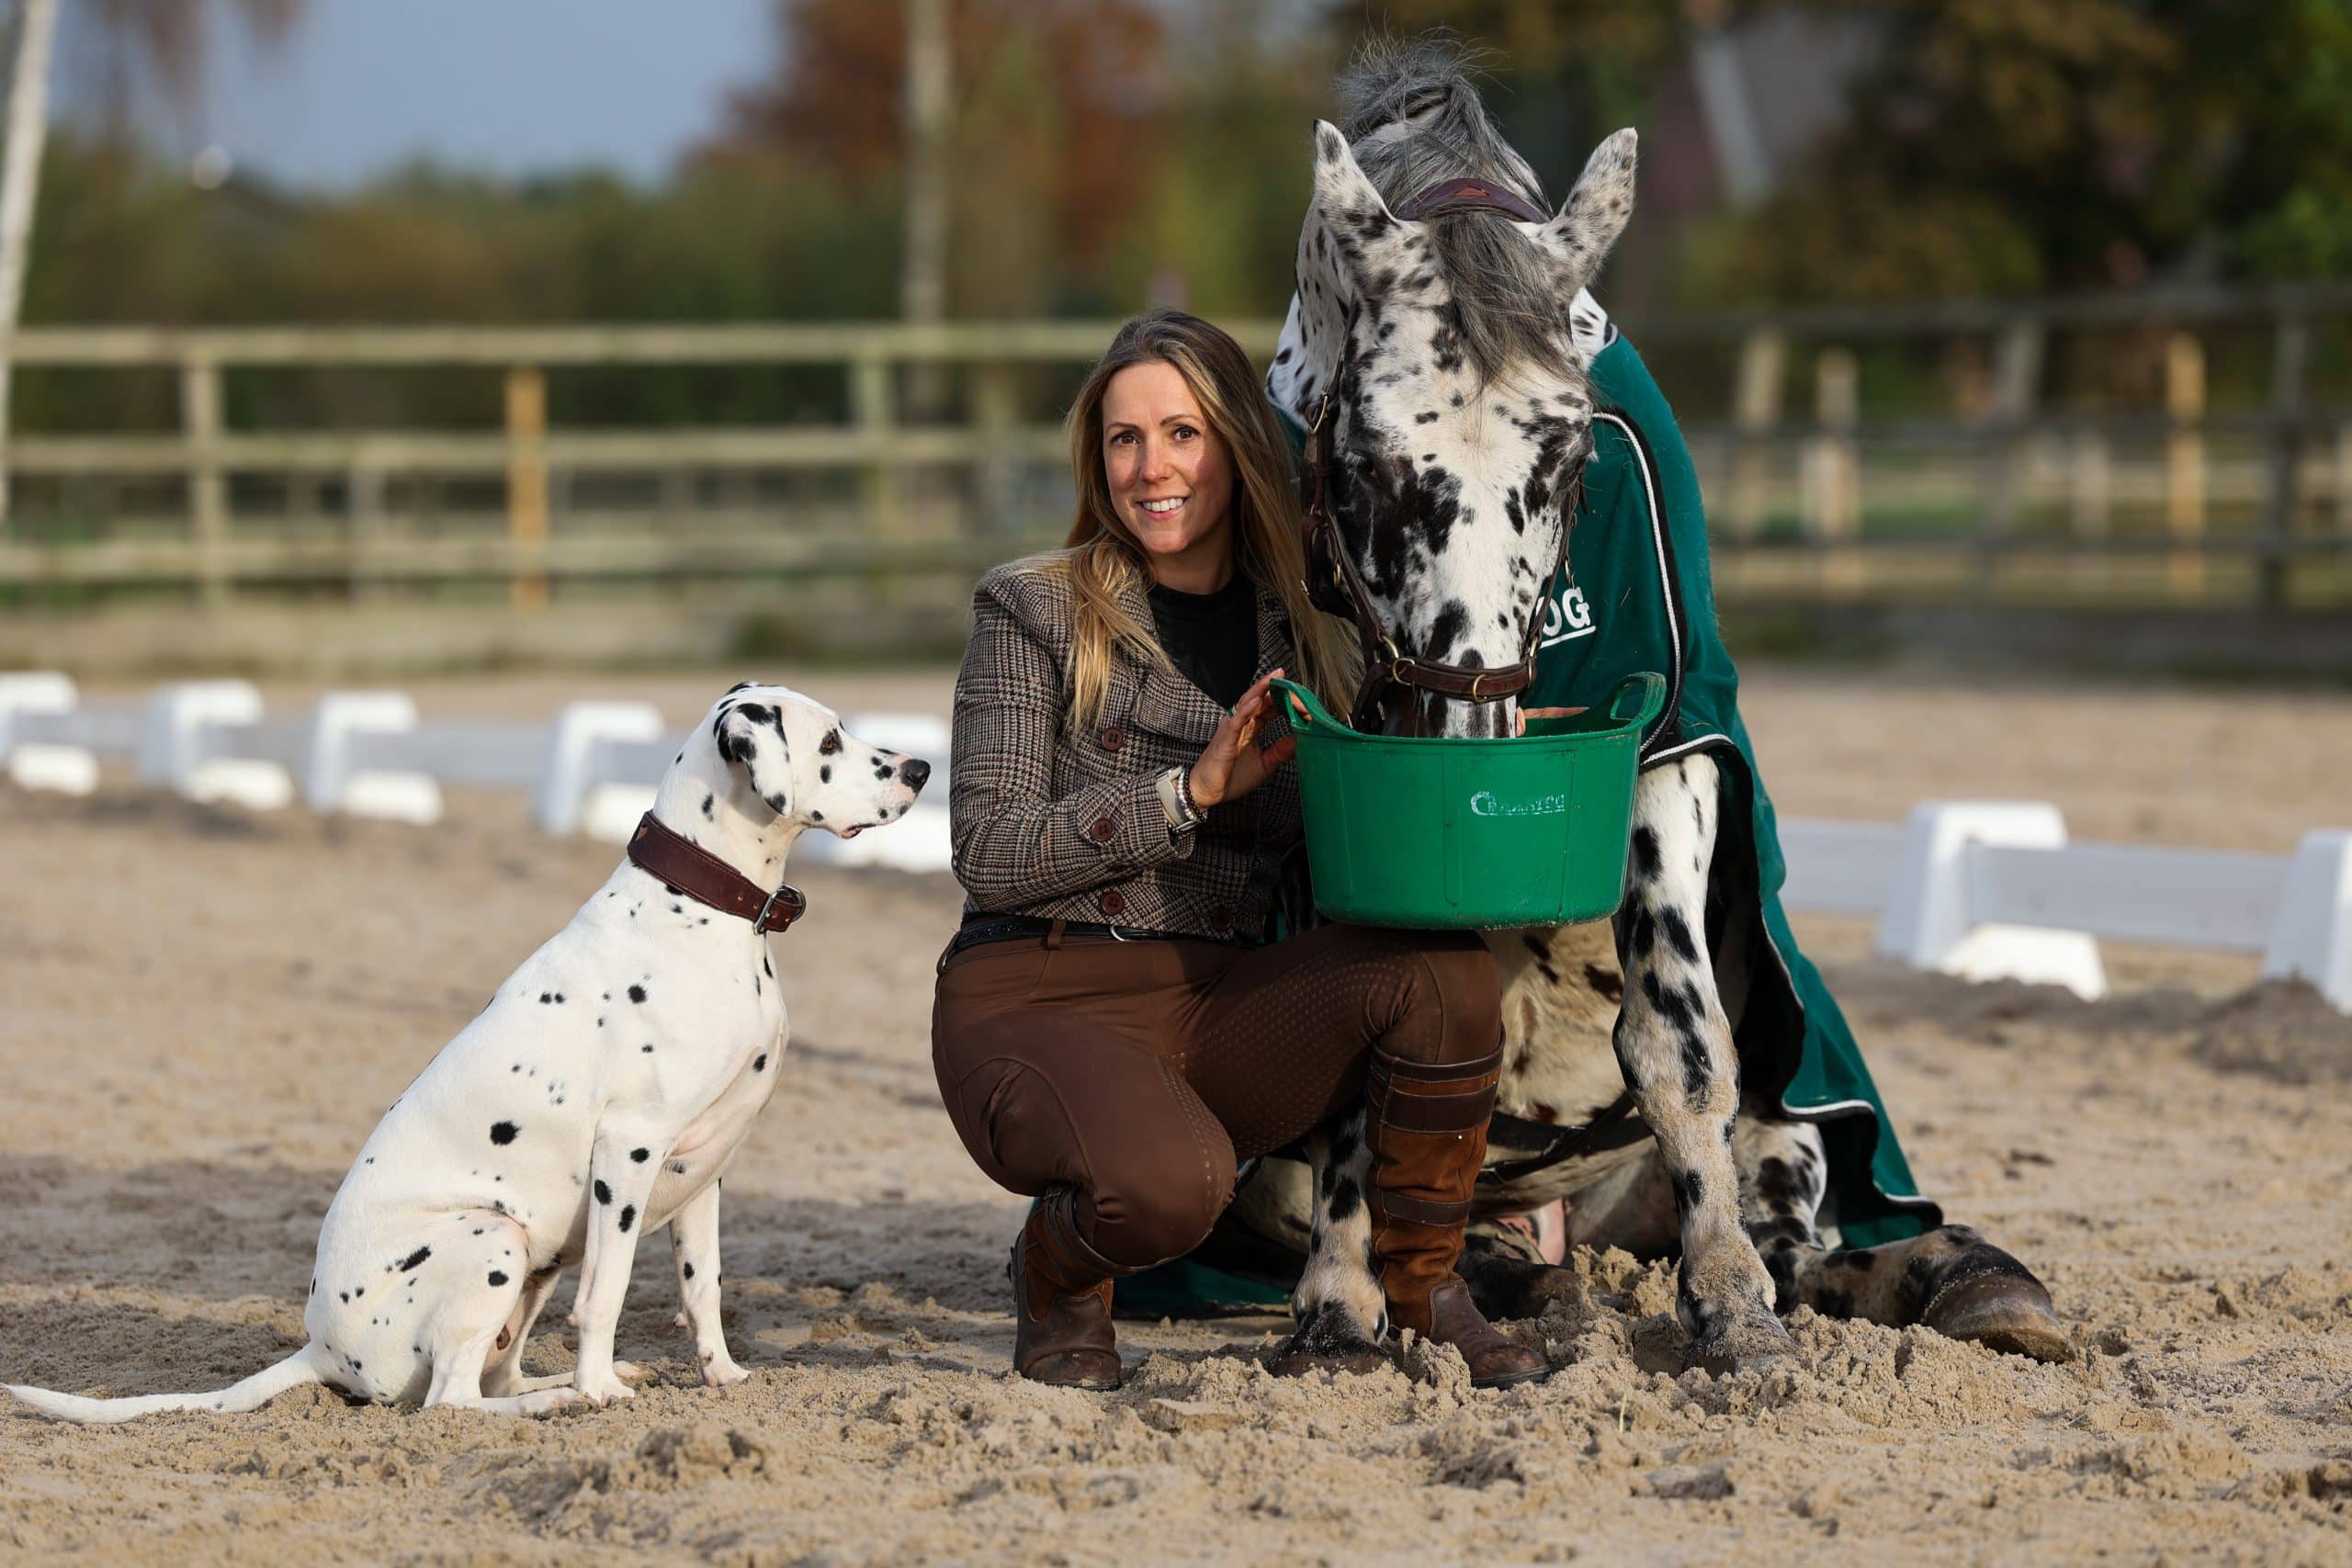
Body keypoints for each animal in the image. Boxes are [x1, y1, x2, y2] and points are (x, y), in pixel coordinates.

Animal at [9, 682, 926, 1419]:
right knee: (452, 1401)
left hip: (532, 1263)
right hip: (495, 1238)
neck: (703, 904)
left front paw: (722, 1376)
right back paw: (561, 1400)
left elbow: (704, 1288)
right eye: (831, 741)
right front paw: (602, 1389)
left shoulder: (704, 1168)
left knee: (492, 1376)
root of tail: (319, 1345)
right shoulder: (629, 1151)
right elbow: (609, 1291)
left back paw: (550, 1386)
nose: (919, 767)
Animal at [1250, 42, 2060, 1372]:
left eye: (1572, 462)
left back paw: (1939, 1274)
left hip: (1791, 1130)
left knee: (1804, 1236)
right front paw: (1341, 1292)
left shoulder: (1672, 745)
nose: (1471, 739)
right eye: (1363, 470)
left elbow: (1676, 1049)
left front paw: (1729, 1306)